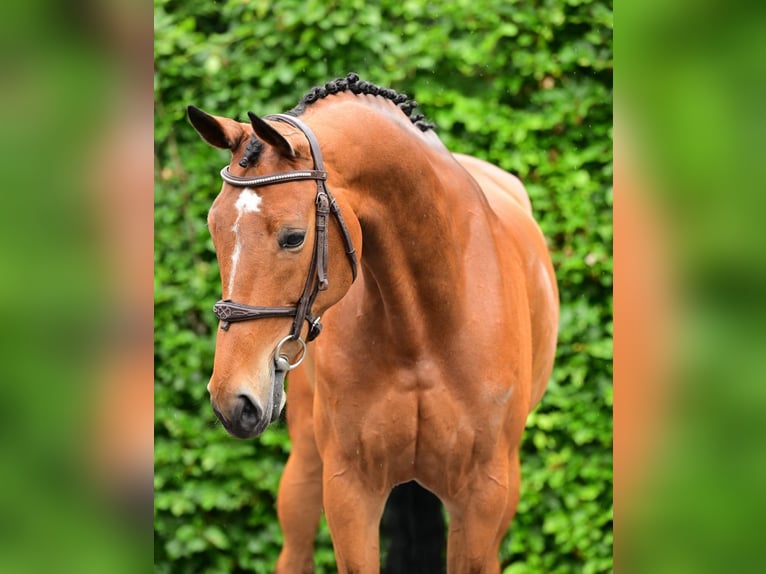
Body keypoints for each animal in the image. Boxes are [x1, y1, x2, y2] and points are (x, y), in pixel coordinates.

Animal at [187, 73, 559, 573]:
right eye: (214, 229)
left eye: (293, 237)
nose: (231, 401)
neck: (424, 326)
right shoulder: (350, 488)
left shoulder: (483, 497)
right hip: (306, 464)